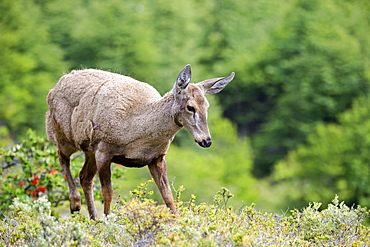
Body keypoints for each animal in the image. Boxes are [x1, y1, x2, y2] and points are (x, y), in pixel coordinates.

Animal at [45, 64, 234, 219]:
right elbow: (108, 192)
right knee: (62, 158)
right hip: (62, 134)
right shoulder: (104, 149)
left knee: (84, 177)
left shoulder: (157, 157)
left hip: (88, 149)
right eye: (190, 107)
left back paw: (93, 218)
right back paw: (75, 204)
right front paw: (108, 222)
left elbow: (168, 196)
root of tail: (54, 87)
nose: (206, 140)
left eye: (207, 106)